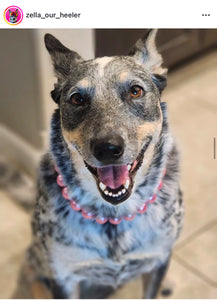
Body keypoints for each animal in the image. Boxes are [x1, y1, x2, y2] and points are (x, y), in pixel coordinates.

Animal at [14, 28, 183, 298]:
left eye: (135, 91)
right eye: (77, 99)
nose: (108, 148)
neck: (114, 217)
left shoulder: (159, 259)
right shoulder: (64, 278)